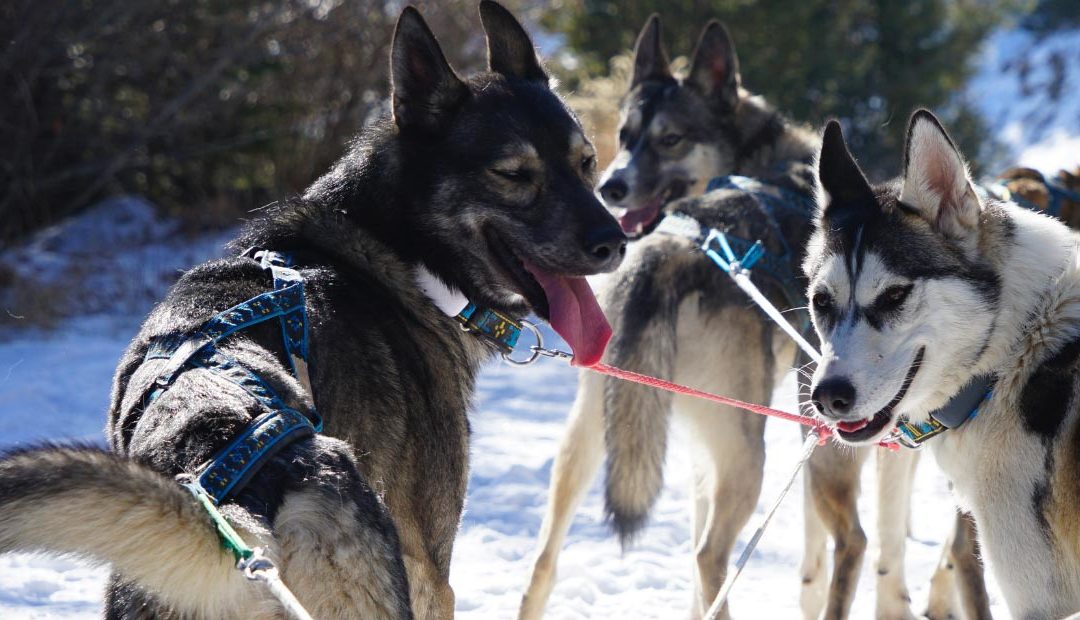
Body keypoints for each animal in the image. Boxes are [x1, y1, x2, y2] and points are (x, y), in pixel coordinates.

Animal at [0, 2, 630, 617]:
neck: (400, 250)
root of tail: (241, 507)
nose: (614, 243)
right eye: (514, 175)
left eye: (586, 161)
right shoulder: (431, 571)